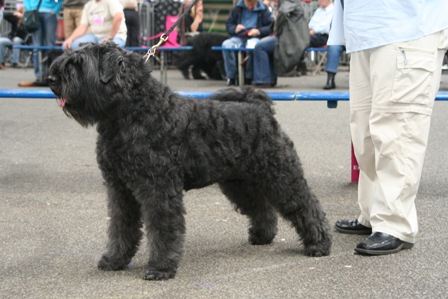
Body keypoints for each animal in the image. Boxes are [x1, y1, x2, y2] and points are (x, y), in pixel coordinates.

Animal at [48, 42, 332, 282]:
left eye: (78, 63)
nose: (52, 79)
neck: (129, 112)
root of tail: (260, 109)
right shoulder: (119, 188)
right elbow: (121, 225)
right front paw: (115, 259)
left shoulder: (158, 189)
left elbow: (162, 228)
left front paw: (160, 268)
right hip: (239, 182)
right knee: (261, 207)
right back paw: (263, 235)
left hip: (280, 173)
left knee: (304, 204)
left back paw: (319, 243)